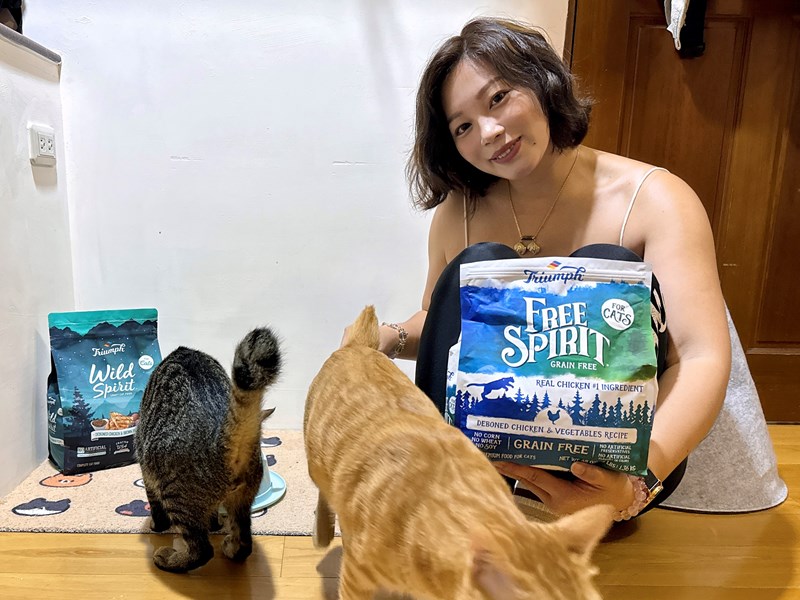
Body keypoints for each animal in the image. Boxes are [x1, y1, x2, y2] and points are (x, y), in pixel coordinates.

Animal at [136, 327, 282, 573]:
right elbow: (213, 518)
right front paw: (215, 525)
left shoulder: (146, 471)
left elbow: (155, 507)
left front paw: (156, 526)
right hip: (242, 500)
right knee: (245, 542)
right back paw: (231, 548)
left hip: (176, 496)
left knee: (202, 550)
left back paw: (171, 560)